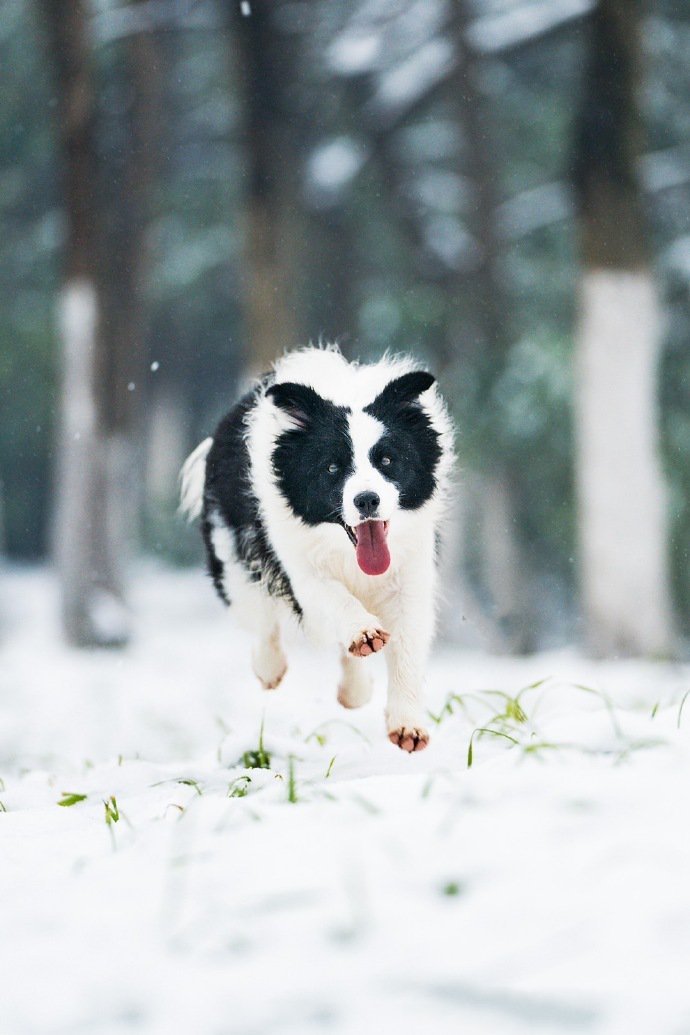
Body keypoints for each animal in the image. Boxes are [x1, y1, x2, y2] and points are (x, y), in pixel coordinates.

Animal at [181, 347, 455, 753]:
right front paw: (364, 631)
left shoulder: (410, 570)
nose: (367, 500)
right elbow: (328, 595)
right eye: (332, 468)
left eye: (388, 460)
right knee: (257, 611)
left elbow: (407, 642)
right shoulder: (295, 559)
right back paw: (271, 667)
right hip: (229, 548)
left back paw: (355, 689)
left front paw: (407, 725)